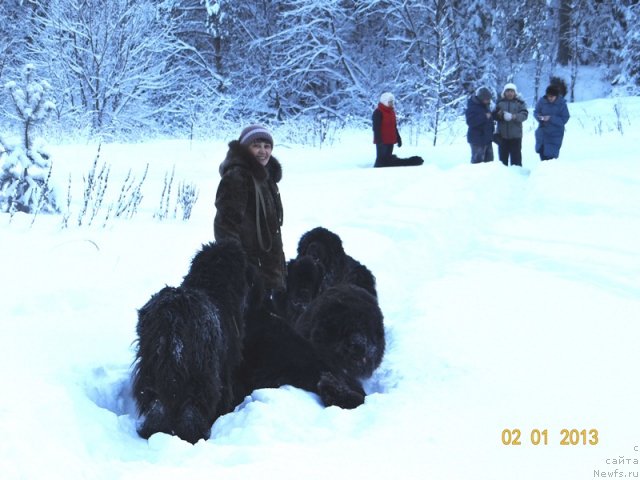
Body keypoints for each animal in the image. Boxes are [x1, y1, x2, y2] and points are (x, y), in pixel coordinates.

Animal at [132, 242, 250, 444]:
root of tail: (172, 315)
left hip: (151, 367)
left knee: (156, 403)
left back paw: (153, 431)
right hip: (202, 371)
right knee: (193, 408)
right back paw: (194, 436)